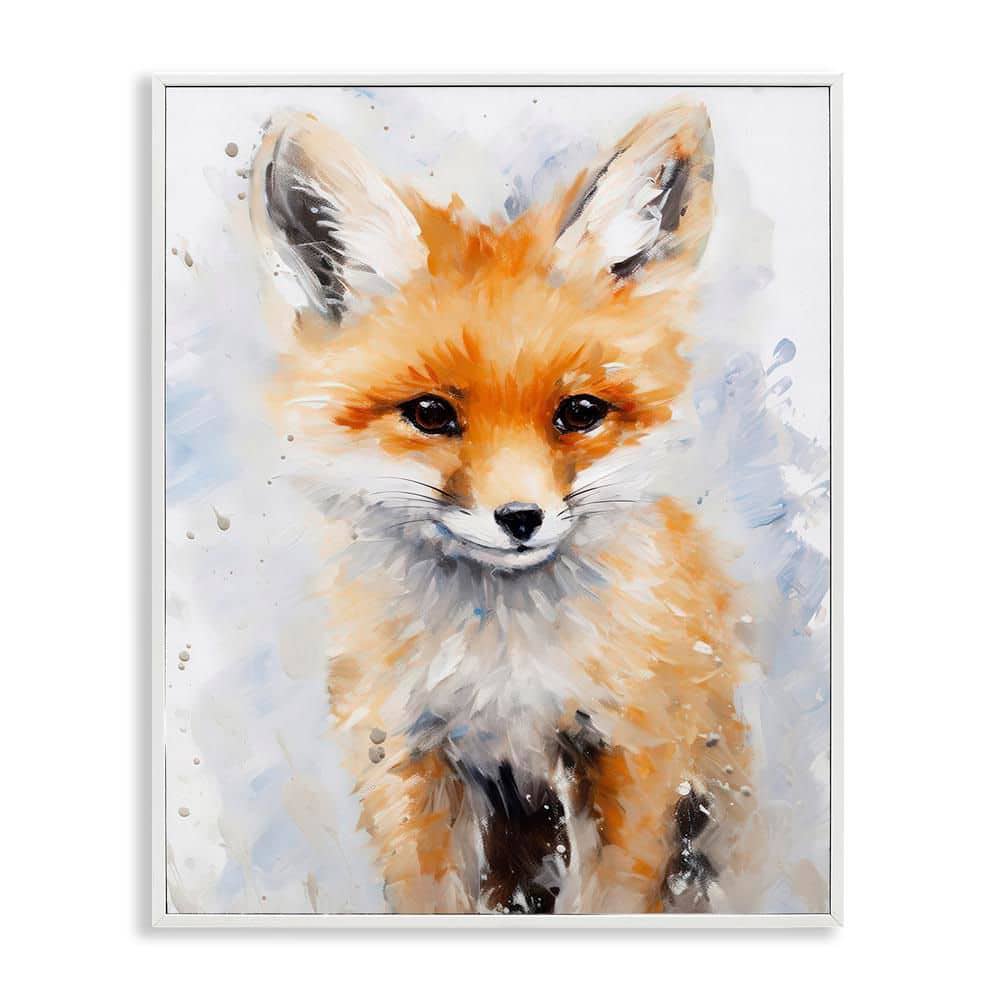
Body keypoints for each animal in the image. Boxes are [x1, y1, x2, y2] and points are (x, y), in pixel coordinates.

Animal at [248, 101, 754, 914]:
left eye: (579, 412)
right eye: (430, 414)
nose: (521, 519)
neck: (504, 669)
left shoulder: (629, 752)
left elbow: (612, 900)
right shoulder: (406, 758)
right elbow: (430, 897)